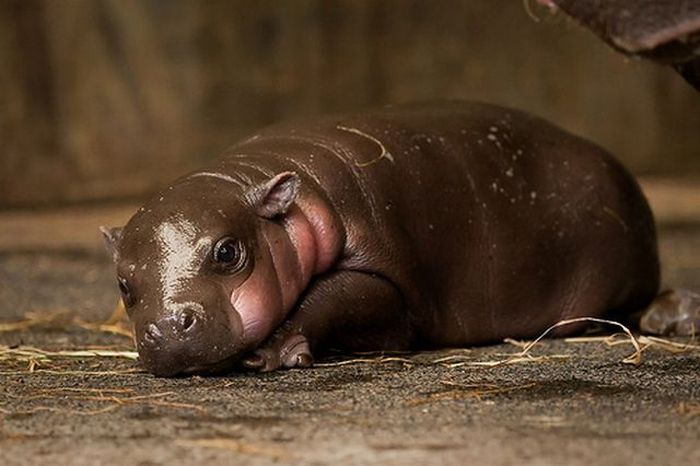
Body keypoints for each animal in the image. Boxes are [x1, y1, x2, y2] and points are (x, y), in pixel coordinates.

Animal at [101, 101, 698, 376]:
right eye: (124, 284)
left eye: (229, 252)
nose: (163, 328)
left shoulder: (389, 280)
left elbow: (336, 294)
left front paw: (273, 354)